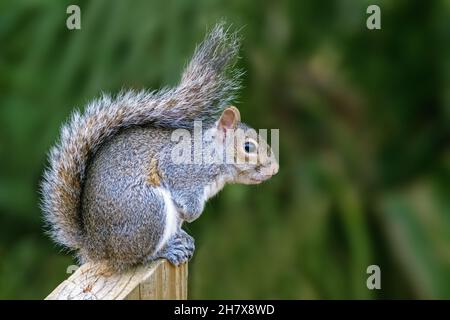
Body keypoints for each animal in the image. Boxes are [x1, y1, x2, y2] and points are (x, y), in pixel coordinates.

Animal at [40, 23, 278, 272]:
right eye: (248, 147)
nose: (274, 169)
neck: (211, 152)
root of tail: (98, 249)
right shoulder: (182, 168)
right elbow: (181, 188)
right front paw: (192, 214)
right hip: (149, 210)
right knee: (137, 258)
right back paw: (167, 250)